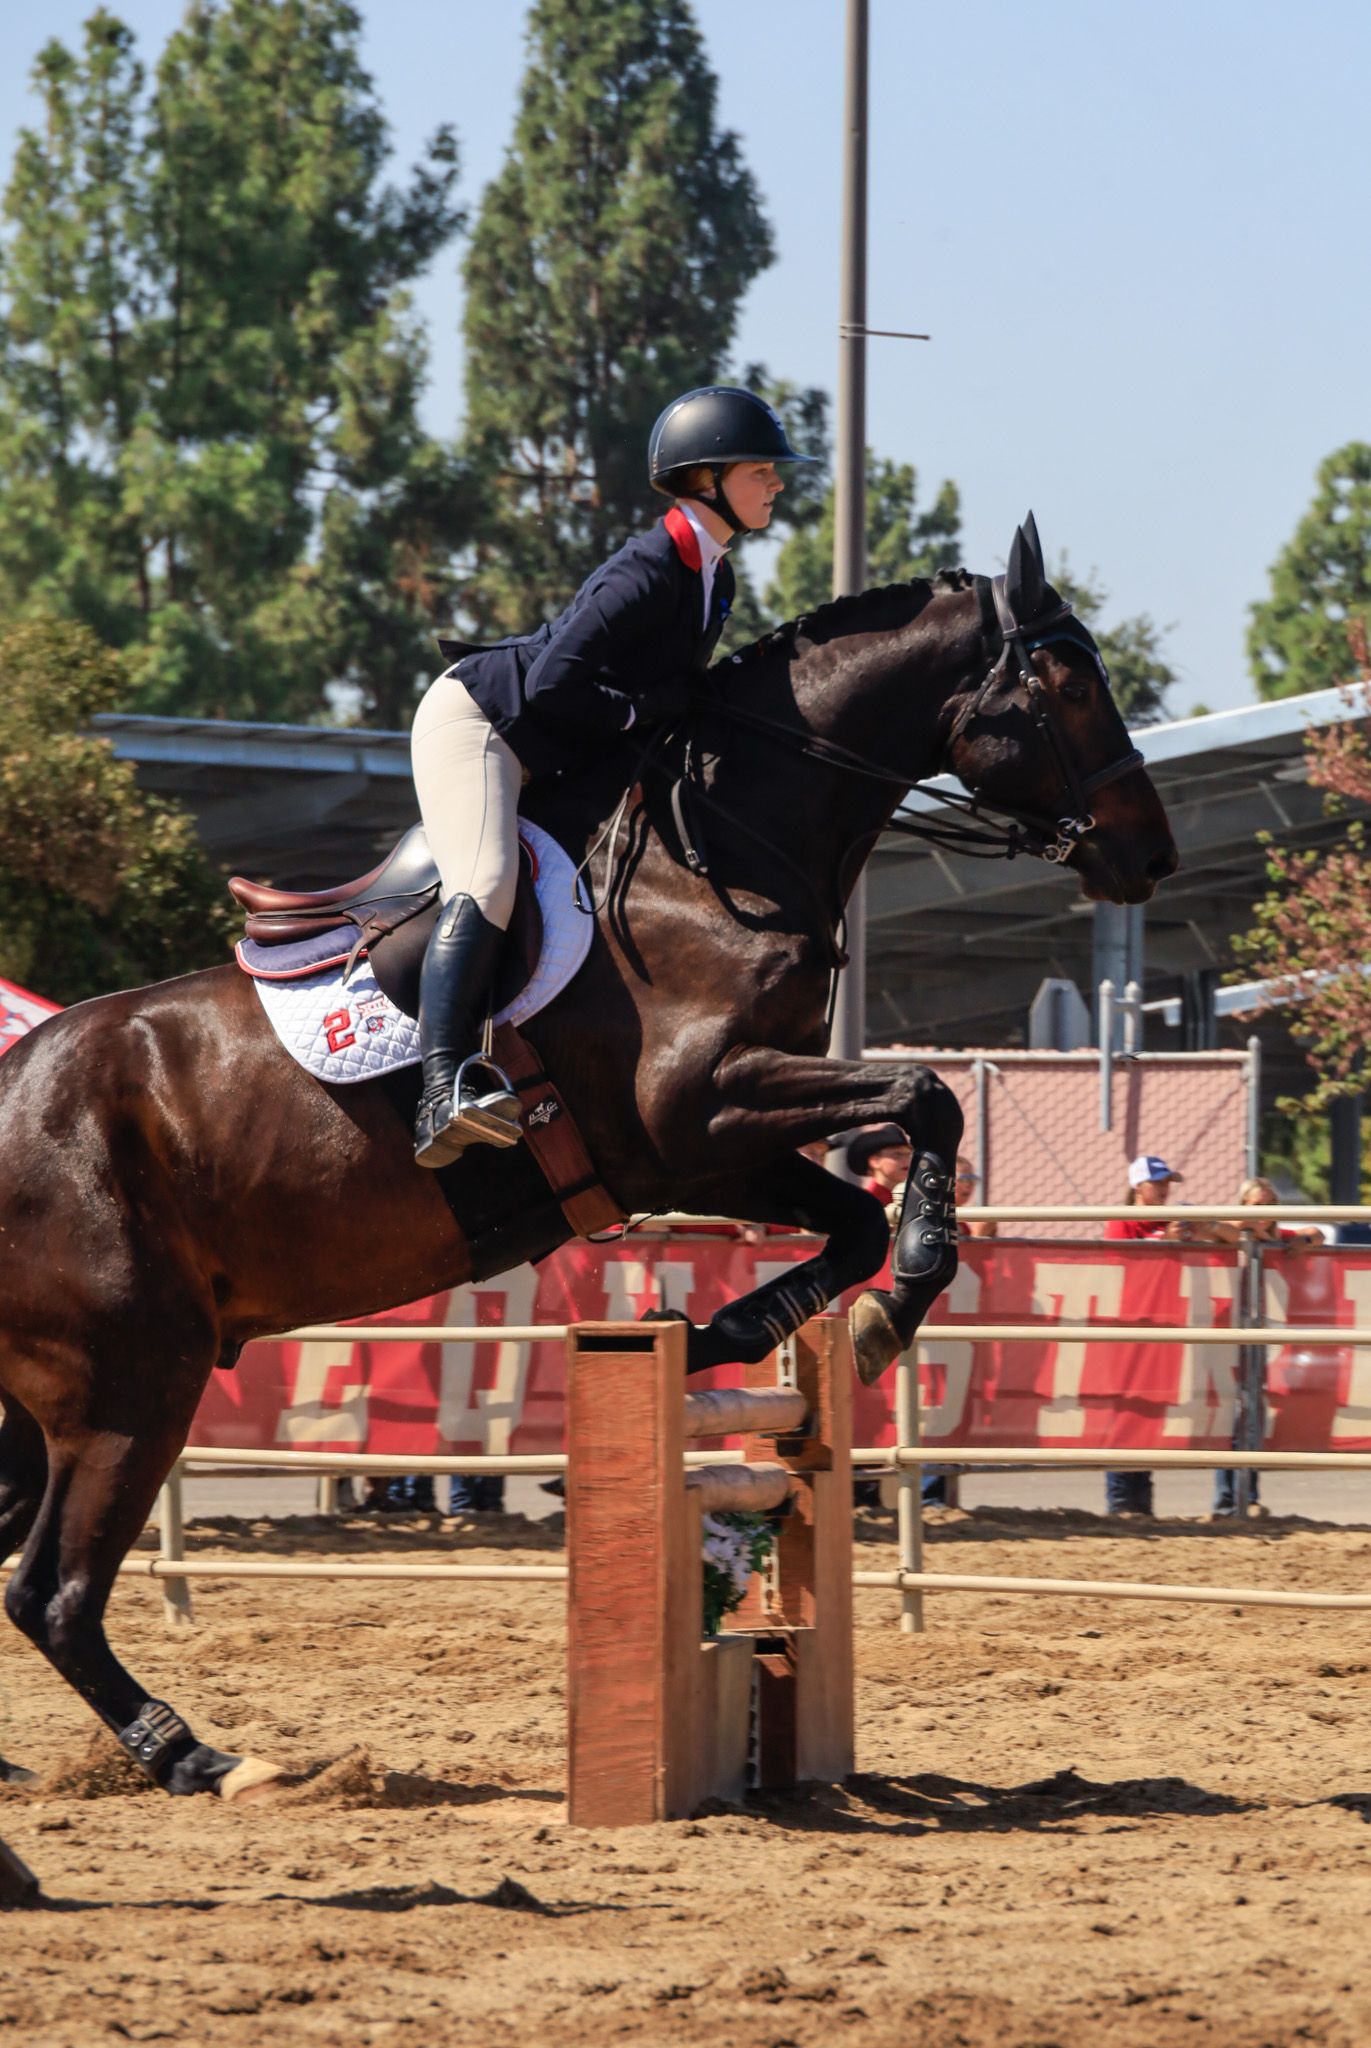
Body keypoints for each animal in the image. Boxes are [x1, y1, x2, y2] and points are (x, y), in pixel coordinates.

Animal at [0, 518, 1177, 1800]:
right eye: (1071, 684)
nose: (1151, 854)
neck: (717, 857)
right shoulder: (699, 1107)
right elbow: (926, 1097)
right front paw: (877, 1297)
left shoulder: (702, 1155)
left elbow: (859, 1213)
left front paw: (757, 1332)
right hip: (134, 1385)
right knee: (53, 1590)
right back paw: (200, 1755)